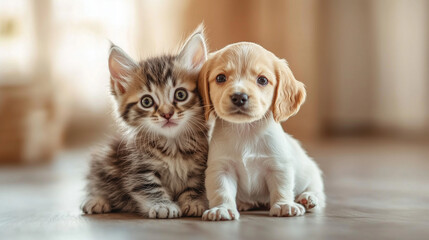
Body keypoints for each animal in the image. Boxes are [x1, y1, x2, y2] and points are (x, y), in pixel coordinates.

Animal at [82, 27, 209, 218]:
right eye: (147, 102)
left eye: (180, 94)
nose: (167, 114)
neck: (174, 147)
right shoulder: (137, 167)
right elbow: (148, 186)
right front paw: (163, 205)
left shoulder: (201, 165)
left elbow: (196, 184)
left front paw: (193, 202)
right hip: (103, 159)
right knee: (96, 184)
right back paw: (97, 201)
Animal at [197, 42, 324, 220]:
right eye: (220, 78)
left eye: (262, 80)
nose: (239, 97)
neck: (246, 131)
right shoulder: (221, 168)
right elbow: (221, 191)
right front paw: (222, 208)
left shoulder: (278, 165)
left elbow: (282, 188)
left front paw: (284, 205)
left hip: (311, 171)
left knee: (317, 190)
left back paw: (308, 198)